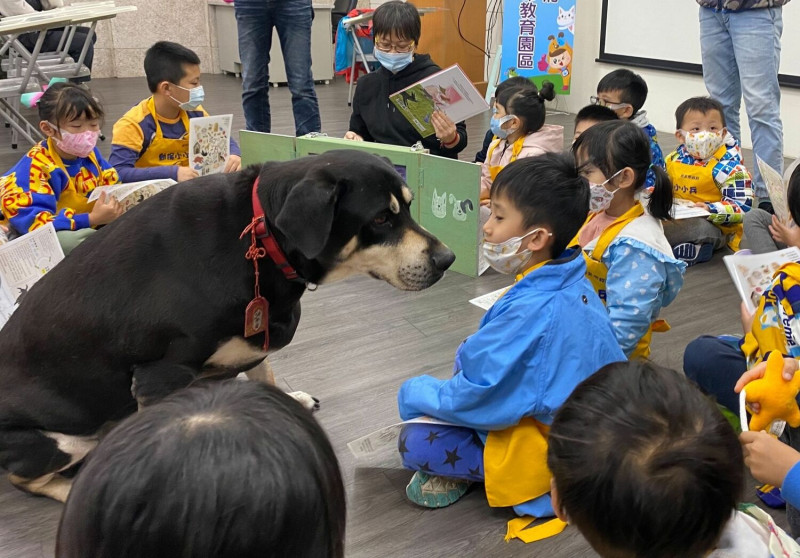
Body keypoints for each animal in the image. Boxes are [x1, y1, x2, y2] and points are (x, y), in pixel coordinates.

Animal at [0, 150, 454, 504]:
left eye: (409, 206)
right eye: (380, 219)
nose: (447, 259)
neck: (261, 236)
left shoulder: (256, 333)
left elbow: (266, 375)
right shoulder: (159, 374)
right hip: (64, 439)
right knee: (24, 478)